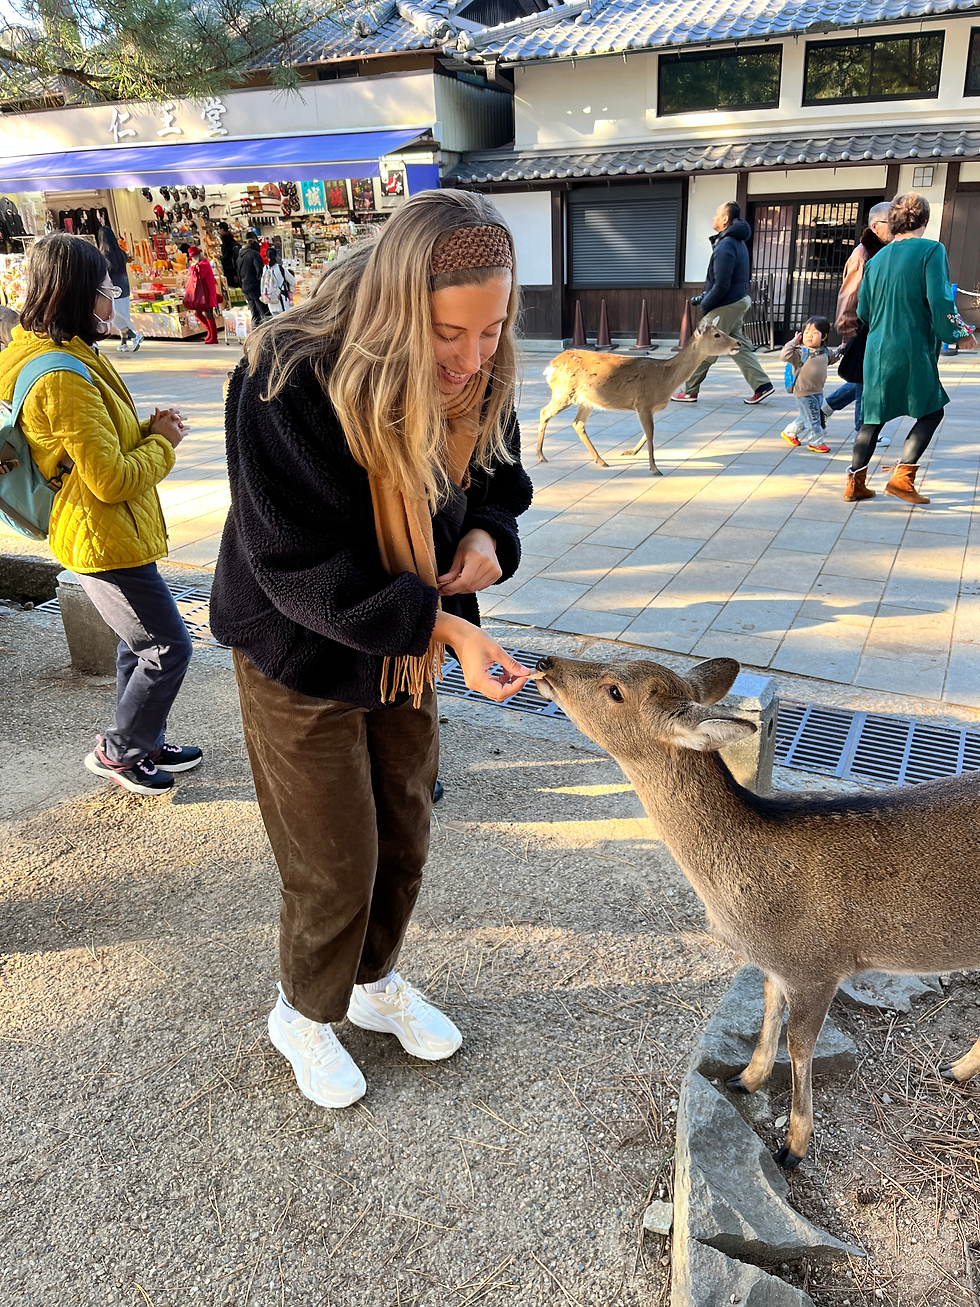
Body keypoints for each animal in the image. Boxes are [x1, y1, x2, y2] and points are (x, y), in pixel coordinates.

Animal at [533, 654, 980, 1170]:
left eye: (615, 690)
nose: (545, 663)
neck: (752, 908)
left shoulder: (818, 966)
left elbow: (800, 1044)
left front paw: (794, 1147)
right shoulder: (776, 965)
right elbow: (768, 1009)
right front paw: (744, 1079)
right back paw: (955, 1069)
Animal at [536, 318, 738, 476]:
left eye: (722, 331)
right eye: (717, 335)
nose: (738, 344)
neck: (665, 380)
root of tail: (551, 365)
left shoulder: (650, 408)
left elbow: (647, 433)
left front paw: (630, 452)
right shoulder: (643, 404)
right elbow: (651, 434)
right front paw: (655, 469)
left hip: (587, 400)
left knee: (578, 423)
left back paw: (601, 460)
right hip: (564, 392)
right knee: (544, 412)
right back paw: (541, 455)